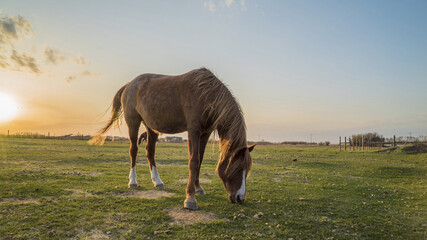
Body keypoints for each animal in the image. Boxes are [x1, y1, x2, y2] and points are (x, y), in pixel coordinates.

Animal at [93, 68, 254, 210]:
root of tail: (128, 85)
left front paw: (198, 188)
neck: (206, 94)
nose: (240, 198)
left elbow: (200, 160)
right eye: (237, 167)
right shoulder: (193, 131)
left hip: (151, 127)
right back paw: (133, 181)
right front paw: (190, 199)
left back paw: (158, 182)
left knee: (150, 152)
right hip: (133, 122)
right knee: (133, 150)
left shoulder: (205, 133)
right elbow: (194, 161)